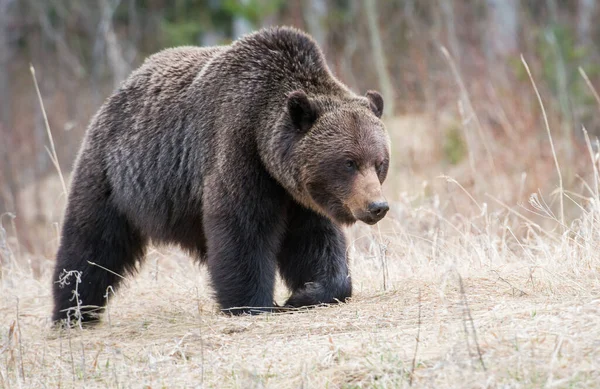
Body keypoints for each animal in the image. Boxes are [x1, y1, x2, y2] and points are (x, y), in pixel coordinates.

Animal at [50, 26, 390, 324]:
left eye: (379, 162)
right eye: (348, 162)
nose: (377, 206)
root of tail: (117, 92)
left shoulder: (298, 195)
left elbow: (315, 241)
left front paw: (307, 292)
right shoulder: (239, 150)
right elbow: (242, 229)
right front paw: (254, 304)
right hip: (114, 175)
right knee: (91, 244)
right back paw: (71, 311)